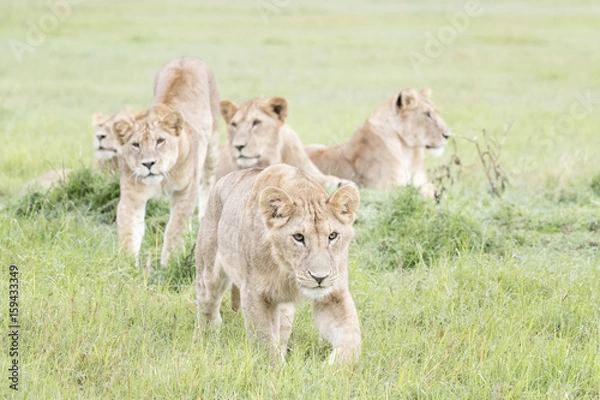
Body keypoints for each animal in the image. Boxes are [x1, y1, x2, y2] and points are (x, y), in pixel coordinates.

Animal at [112, 57, 220, 266]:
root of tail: (185, 58)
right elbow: (129, 231)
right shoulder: (132, 197)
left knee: (207, 182)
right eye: (136, 145)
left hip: (212, 145)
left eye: (160, 141)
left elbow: (175, 227)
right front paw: (126, 266)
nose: (148, 164)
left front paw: (169, 262)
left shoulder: (185, 190)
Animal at [304, 89, 450, 198]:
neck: (408, 150)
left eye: (436, 112)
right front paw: (431, 193)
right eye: (427, 114)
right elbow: (413, 188)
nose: (448, 135)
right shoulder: (382, 186)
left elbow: (426, 185)